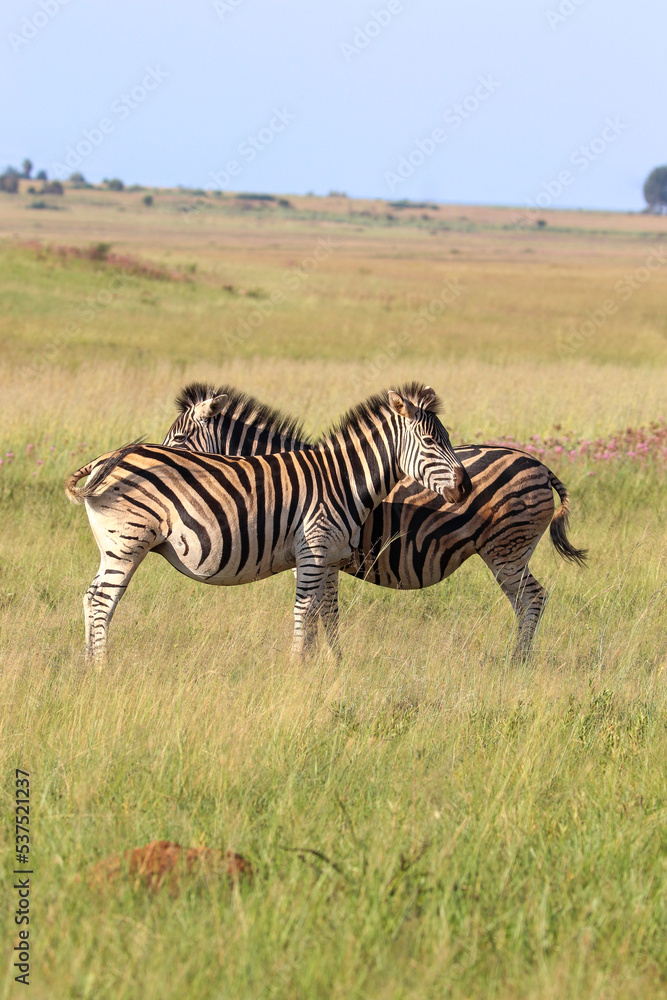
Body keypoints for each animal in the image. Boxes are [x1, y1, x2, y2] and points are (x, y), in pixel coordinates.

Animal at [65, 383, 470, 660]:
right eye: (430, 442)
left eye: (445, 439)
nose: (465, 486)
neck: (341, 479)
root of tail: (105, 459)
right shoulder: (312, 552)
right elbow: (305, 611)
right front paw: (298, 670)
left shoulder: (330, 558)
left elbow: (327, 613)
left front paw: (330, 669)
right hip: (126, 544)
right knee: (101, 600)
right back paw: (101, 670)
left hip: (115, 547)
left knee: (90, 596)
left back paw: (87, 667)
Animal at [162, 383, 586, 657]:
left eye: (179, 441)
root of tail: (539, 464)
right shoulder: (324, 558)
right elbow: (327, 613)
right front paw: (331, 663)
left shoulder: (314, 554)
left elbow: (317, 613)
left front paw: (322, 664)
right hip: (509, 553)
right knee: (527, 601)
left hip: (506, 551)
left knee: (532, 599)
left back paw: (516, 664)